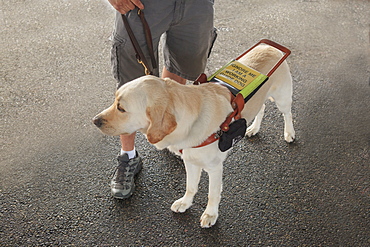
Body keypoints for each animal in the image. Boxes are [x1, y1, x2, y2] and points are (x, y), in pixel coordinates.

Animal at [92, 44, 294, 228]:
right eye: (115, 100)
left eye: (121, 108)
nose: (95, 120)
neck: (190, 124)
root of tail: (270, 47)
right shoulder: (190, 160)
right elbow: (190, 186)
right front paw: (185, 203)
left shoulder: (215, 168)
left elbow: (213, 194)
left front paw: (210, 215)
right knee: (262, 108)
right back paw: (253, 128)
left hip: (282, 98)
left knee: (287, 113)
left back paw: (289, 133)